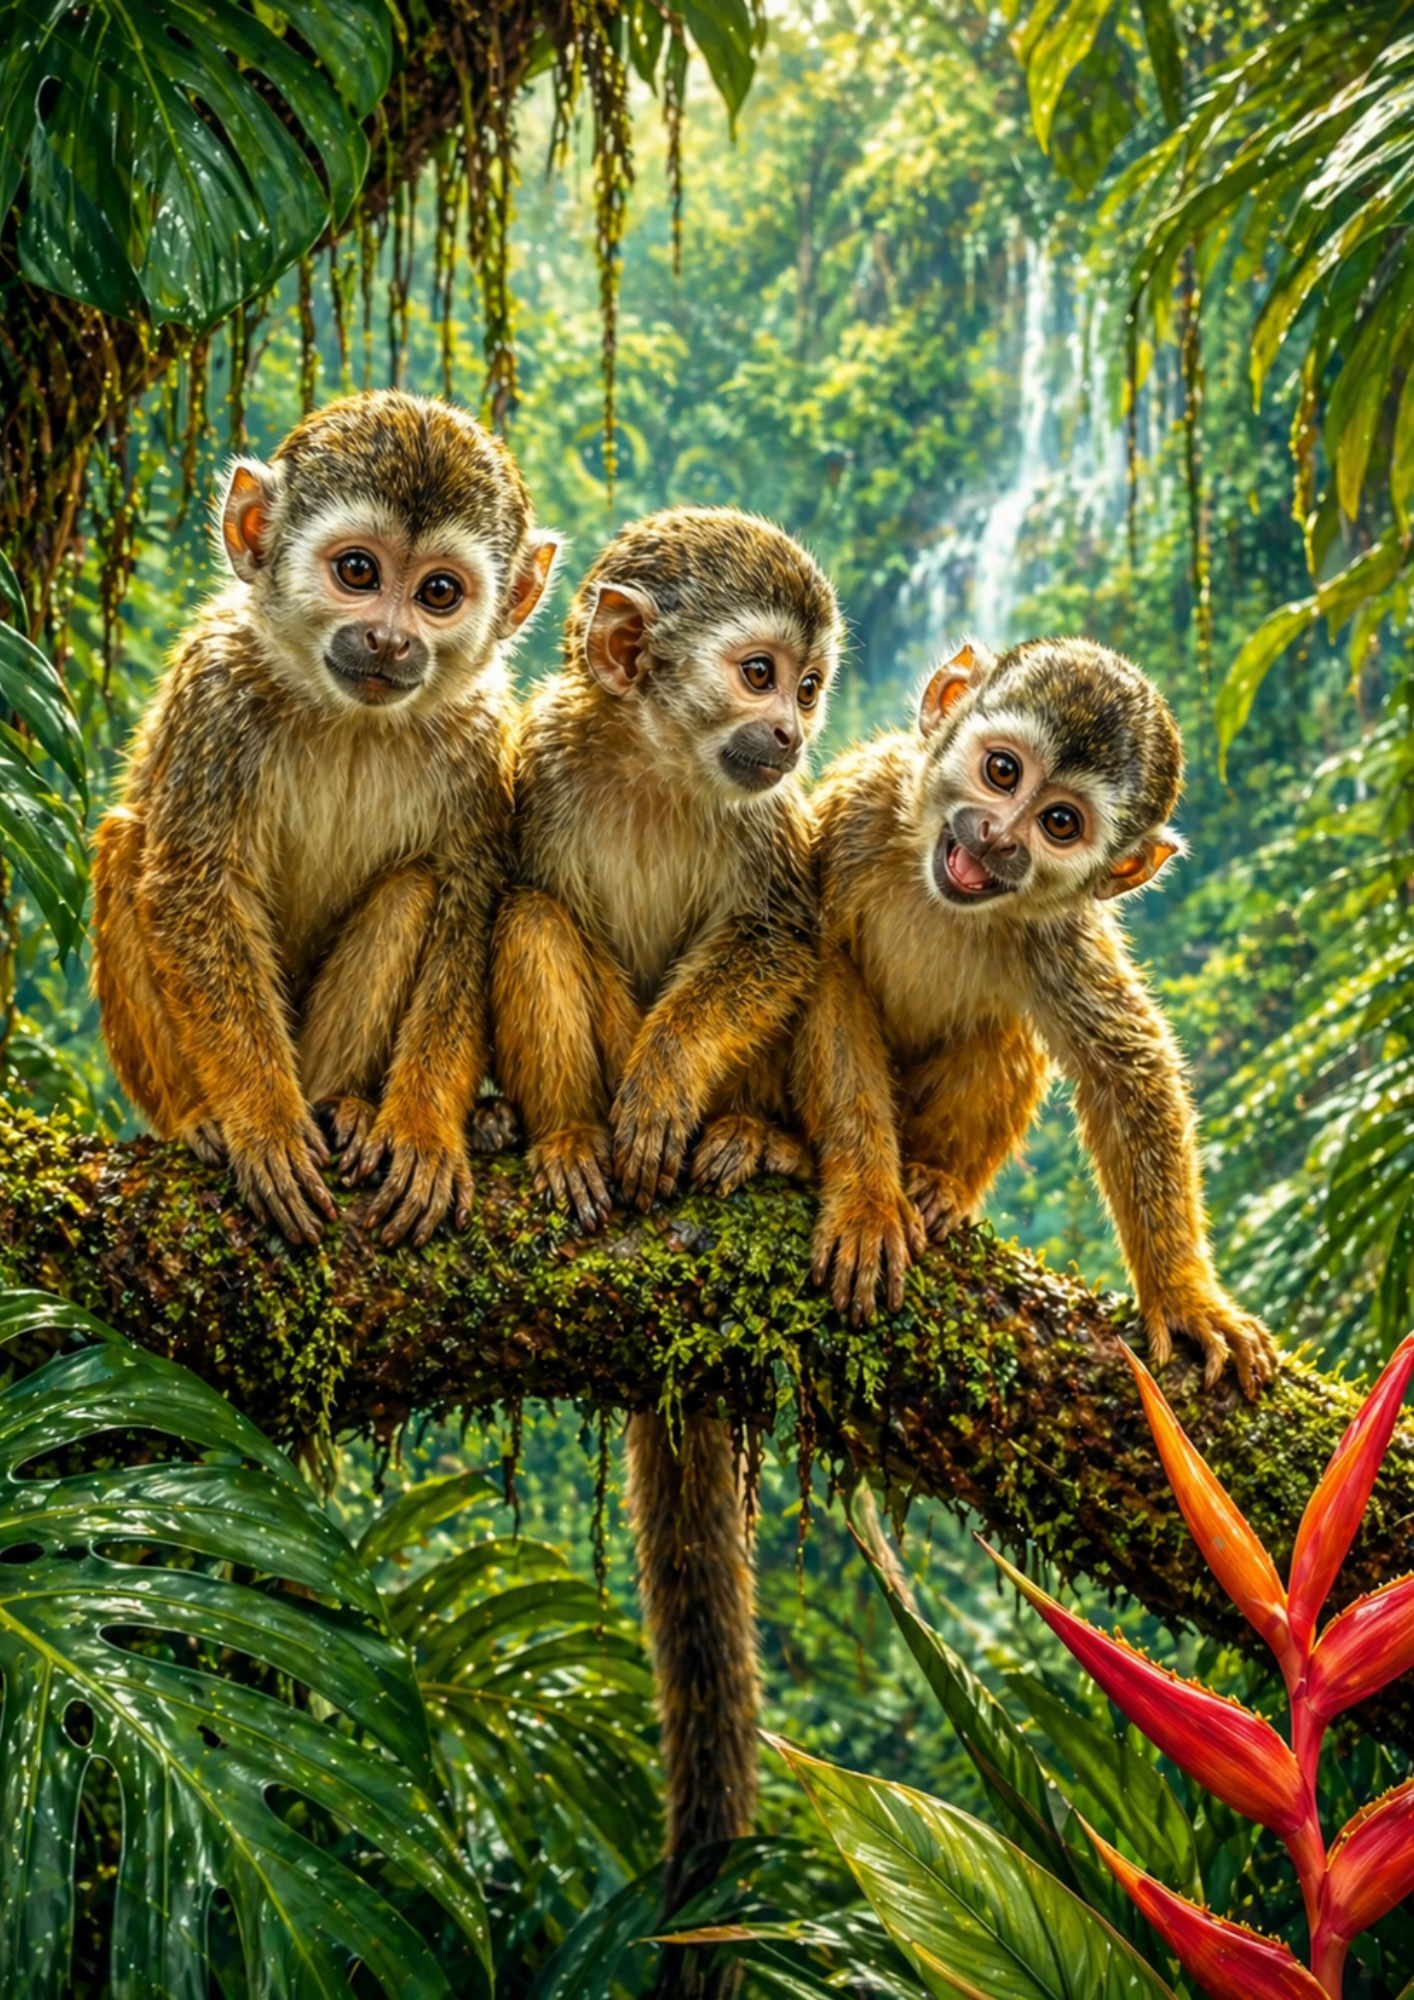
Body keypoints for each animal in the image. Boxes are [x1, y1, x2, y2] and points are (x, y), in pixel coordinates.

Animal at [92, 389, 559, 1249]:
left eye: (438, 593)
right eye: (358, 572)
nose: (388, 639)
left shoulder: (485, 737)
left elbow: (468, 908)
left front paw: (424, 1130)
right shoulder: (215, 688)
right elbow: (191, 891)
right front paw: (263, 1121)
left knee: (415, 887)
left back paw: (347, 1105)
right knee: (125, 844)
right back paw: (203, 1115)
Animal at [490, 506, 841, 1912]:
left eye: (809, 688)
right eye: (759, 676)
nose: (790, 730)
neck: (652, 761)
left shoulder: (768, 819)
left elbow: (779, 938)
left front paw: (664, 1091)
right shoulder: (540, 755)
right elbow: (504, 897)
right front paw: (569, 1129)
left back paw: (744, 1139)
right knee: (536, 911)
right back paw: (564, 1137)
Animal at [794, 636, 1278, 1397]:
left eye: (1059, 824)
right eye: (1002, 771)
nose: (995, 837)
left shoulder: (1059, 928)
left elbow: (1127, 1069)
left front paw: (1185, 1294)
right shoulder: (861, 808)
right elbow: (824, 972)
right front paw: (867, 1200)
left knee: (1003, 1035)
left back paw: (939, 1185)